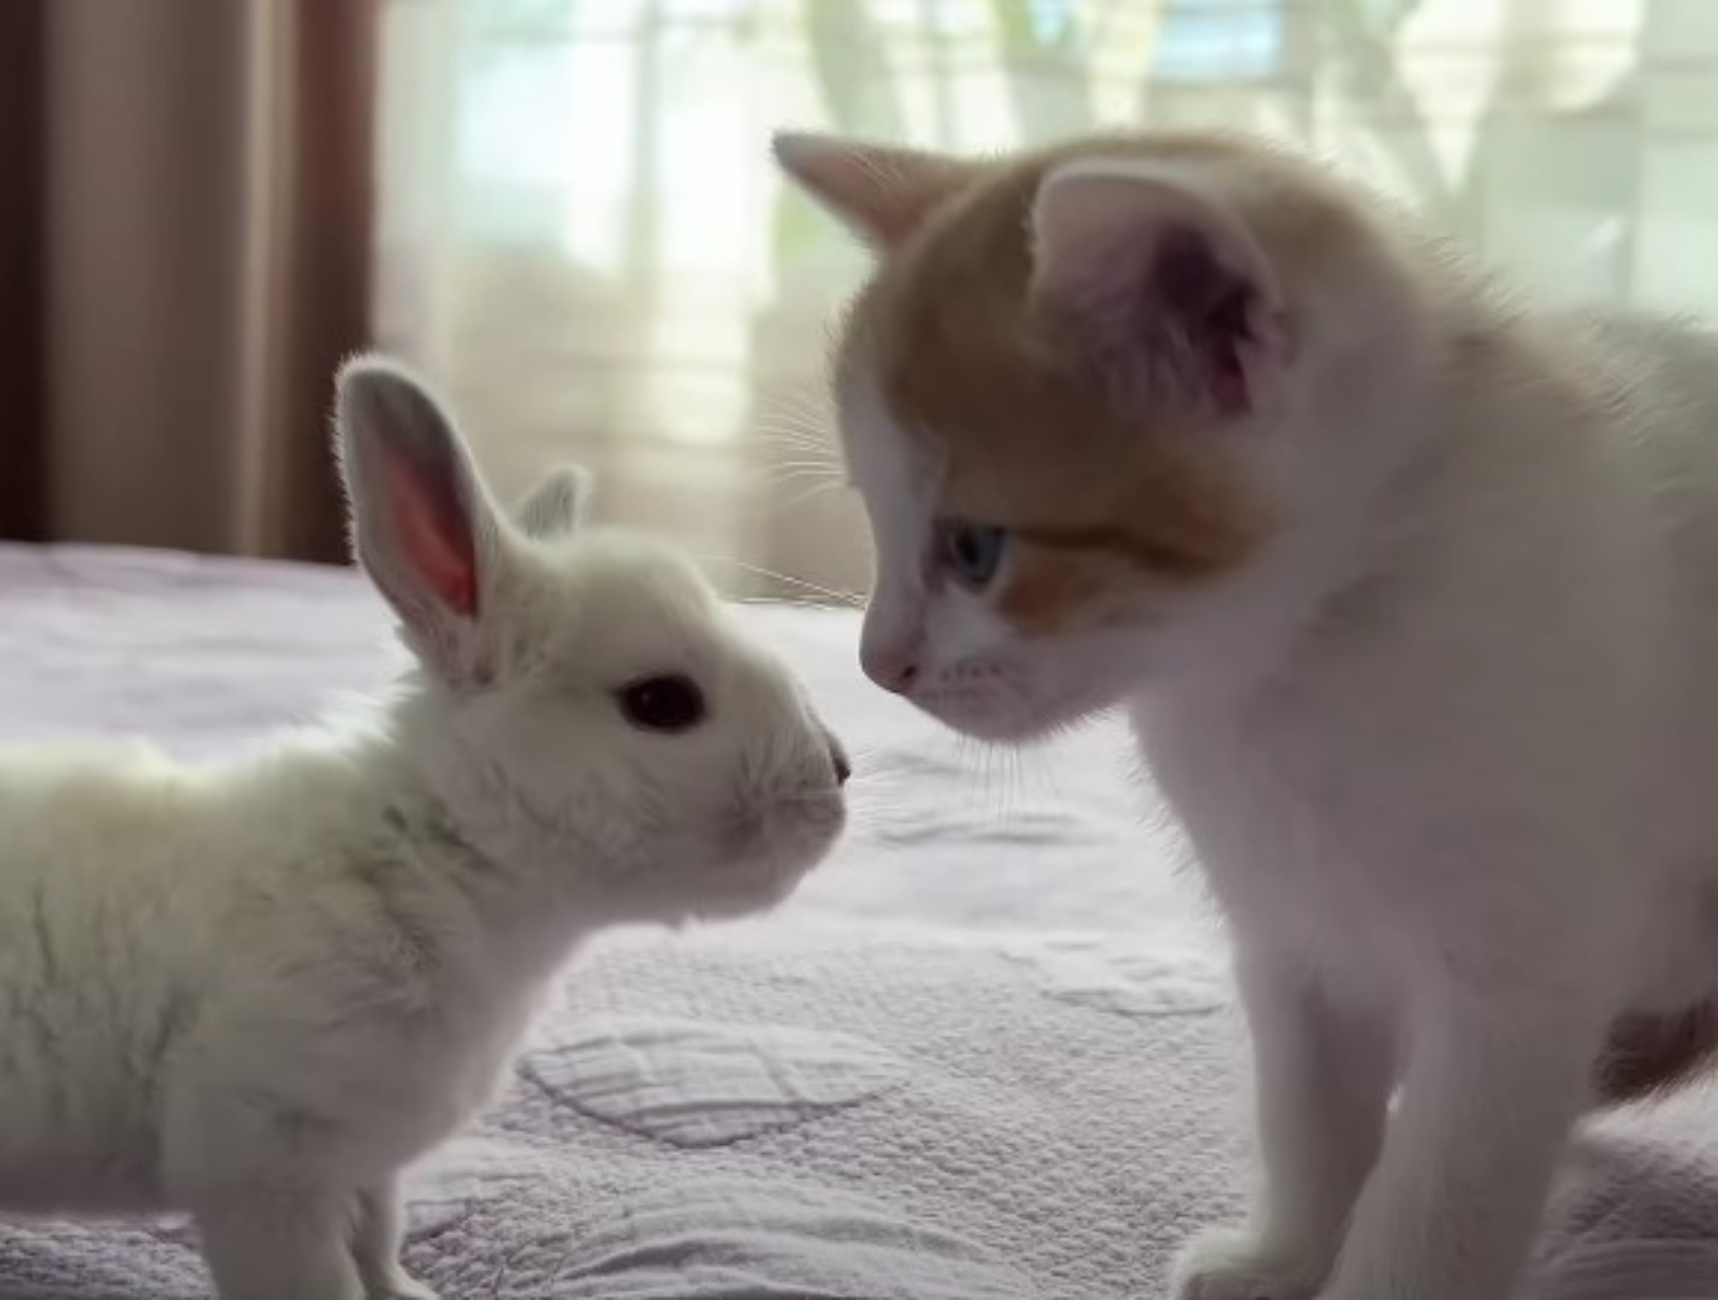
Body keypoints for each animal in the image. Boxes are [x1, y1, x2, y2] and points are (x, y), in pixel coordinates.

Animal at [0, 357, 848, 1298]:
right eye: (661, 703)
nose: (839, 774)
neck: (433, 857)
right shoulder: (267, 1165)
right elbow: (319, 1281)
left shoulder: (367, 1167)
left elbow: (380, 1239)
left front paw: (413, 1293)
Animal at [783, 129, 1718, 1298]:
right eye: (872, 516)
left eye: (974, 548)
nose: (881, 664)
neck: (1297, 668)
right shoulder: (1293, 934)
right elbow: (1310, 1116)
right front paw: (1284, 1257)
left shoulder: (1516, 982)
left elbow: (1440, 1190)